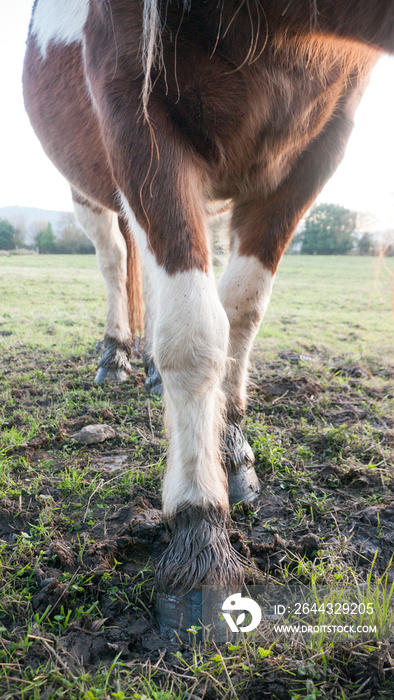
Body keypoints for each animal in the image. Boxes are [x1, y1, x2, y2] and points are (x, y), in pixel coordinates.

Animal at [23, 0, 394, 628]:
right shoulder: (134, 110)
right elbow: (195, 334)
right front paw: (201, 535)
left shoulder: (318, 149)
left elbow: (240, 309)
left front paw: (232, 446)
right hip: (89, 185)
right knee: (114, 257)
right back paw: (115, 357)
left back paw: (149, 372)